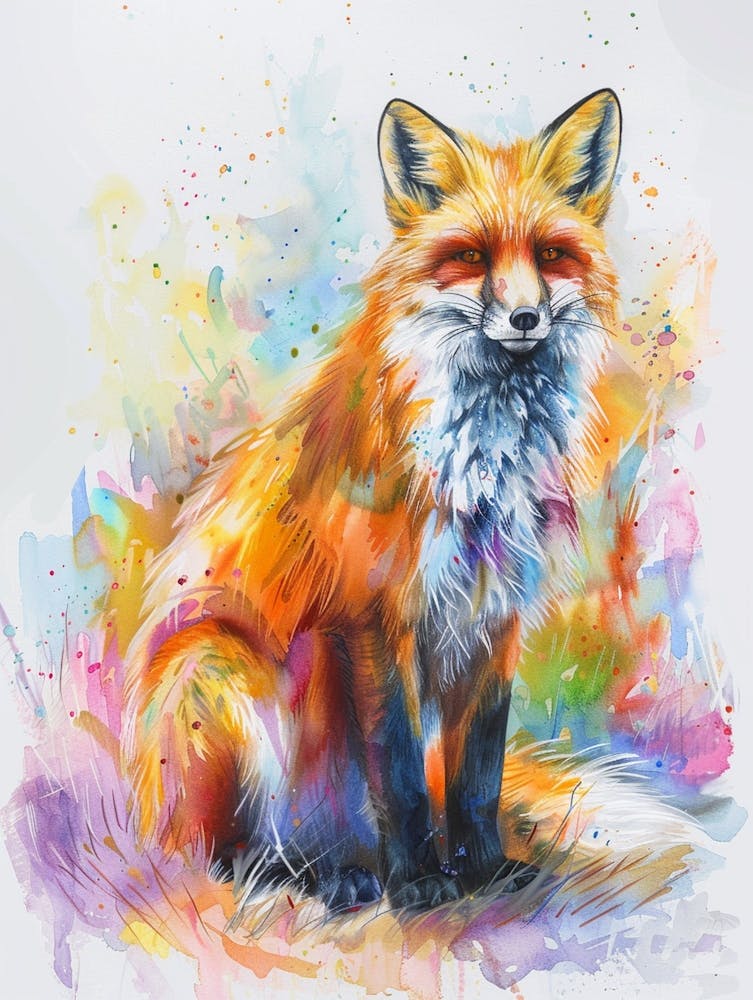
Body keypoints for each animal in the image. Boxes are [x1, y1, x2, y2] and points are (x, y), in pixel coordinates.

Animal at [122, 89, 622, 912]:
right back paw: (323, 876)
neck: (480, 463)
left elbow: (476, 775)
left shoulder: (494, 616)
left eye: (551, 255)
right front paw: (419, 881)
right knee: (214, 854)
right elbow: (400, 774)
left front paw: (482, 869)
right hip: (222, 671)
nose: (525, 318)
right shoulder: (376, 615)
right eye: (471, 256)